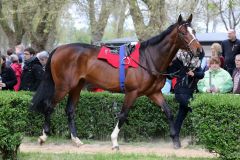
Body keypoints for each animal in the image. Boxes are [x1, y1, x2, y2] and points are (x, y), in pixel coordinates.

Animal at [31, 14, 202, 149]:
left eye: (194, 31)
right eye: (182, 32)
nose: (199, 50)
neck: (148, 59)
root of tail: (58, 49)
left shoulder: (153, 92)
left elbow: (168, 112)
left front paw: (175, 140)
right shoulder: (132, 92)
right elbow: (123, 115)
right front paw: (114, 142)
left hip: (76, 87)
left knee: (70, 110)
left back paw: (76, 140)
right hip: (63, 86)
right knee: (49, 106)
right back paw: (43, 136)